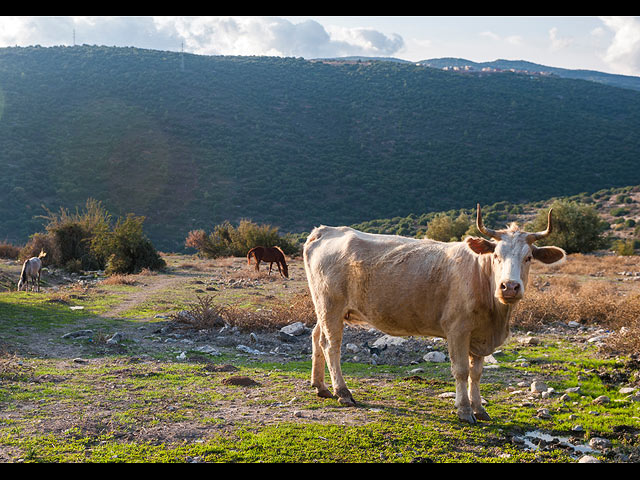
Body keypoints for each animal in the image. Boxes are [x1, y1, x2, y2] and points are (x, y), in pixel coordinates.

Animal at [302, 204, 564, 422]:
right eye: (496, 256)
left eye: (528, 257)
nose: (509, 286)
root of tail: (325, 230)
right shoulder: (457, 329)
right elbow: (461, 370)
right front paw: (465, 410)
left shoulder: (479, 335)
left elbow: (477, 373)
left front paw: (479, 408)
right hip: (331, 306)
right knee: (331, 346)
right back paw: (342, 392)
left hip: (323, 308)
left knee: (316, 337)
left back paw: (320, 386)